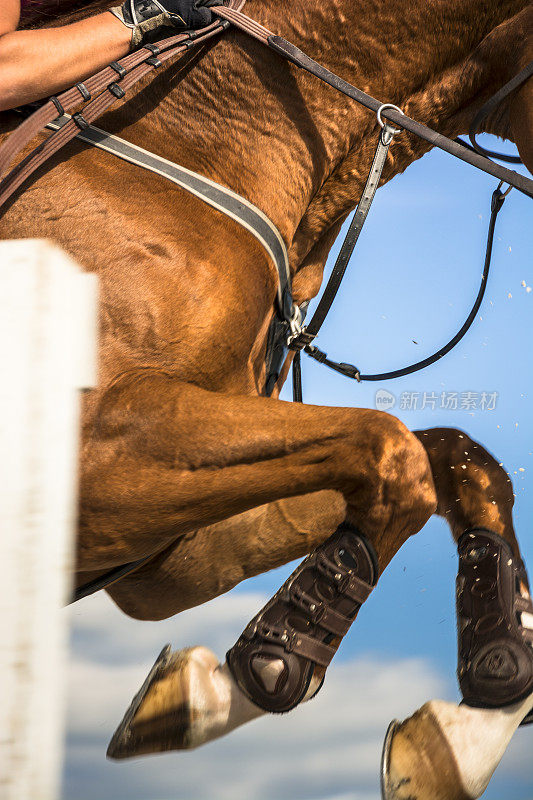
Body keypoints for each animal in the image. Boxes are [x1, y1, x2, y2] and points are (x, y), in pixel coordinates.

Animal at [1, 0, 532, 796]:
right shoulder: (94, 457)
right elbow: (390, 453)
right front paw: (258, 671)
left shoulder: (166, 552)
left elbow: (448, 457)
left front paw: (477, 713)